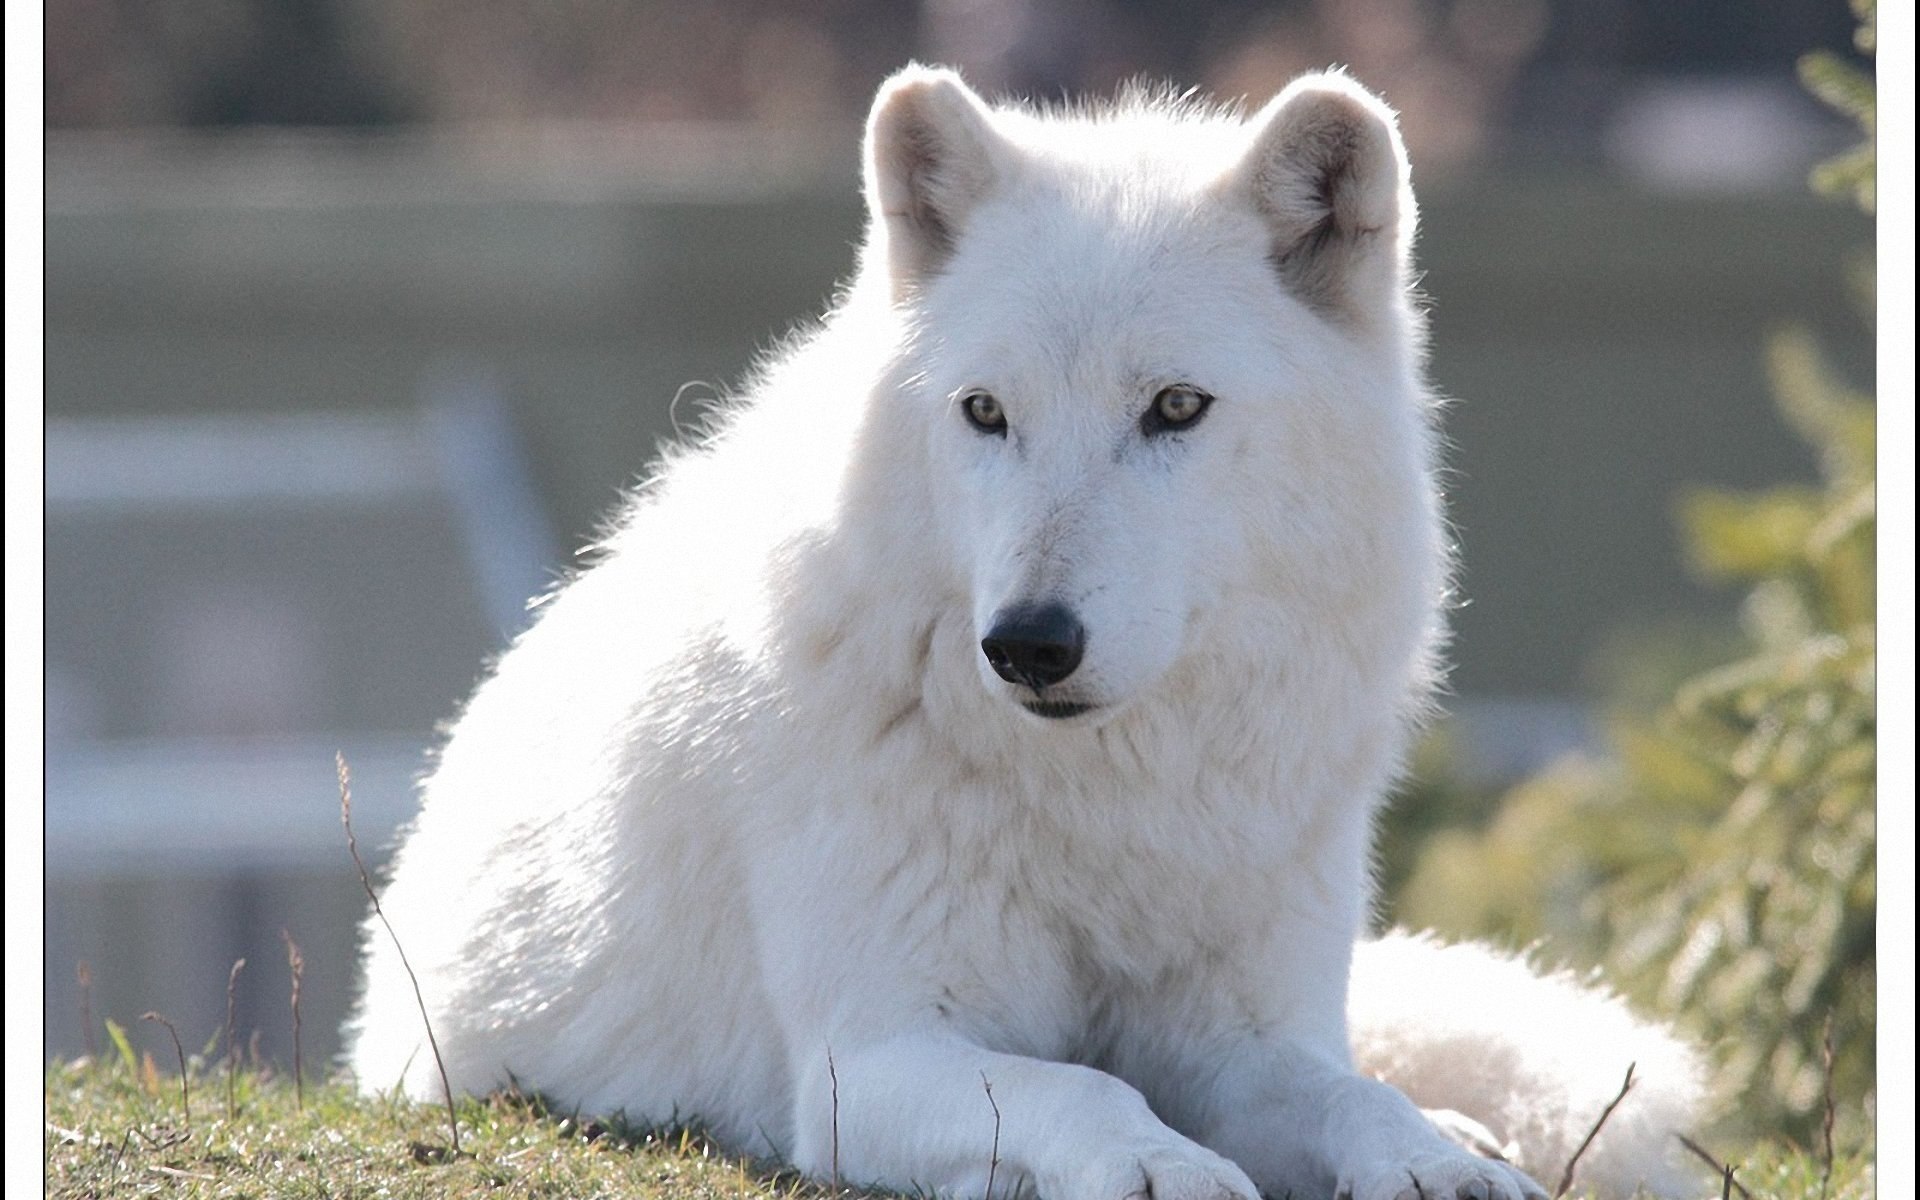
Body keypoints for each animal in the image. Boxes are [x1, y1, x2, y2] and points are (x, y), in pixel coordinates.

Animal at [353, 63, 1704, 1198]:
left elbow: (1351, 1093)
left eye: (1175, 408)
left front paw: (1438, 1163)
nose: (1028, 646)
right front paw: (1168, 1169)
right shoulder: (868, 1058)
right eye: (986, 412)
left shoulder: (1242, 1040)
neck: (1105, 800)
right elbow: (1087, 1087)